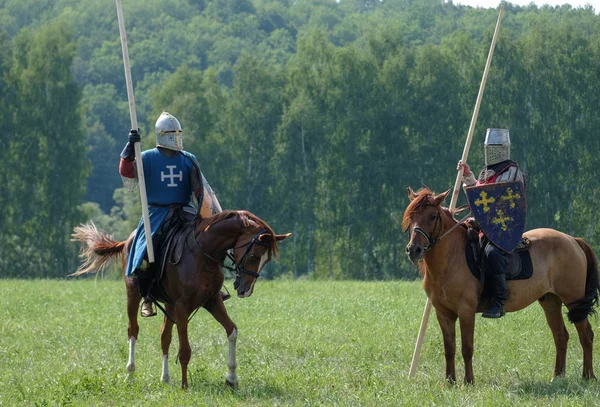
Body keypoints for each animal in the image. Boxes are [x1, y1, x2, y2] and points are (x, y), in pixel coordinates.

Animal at [71, 210, 292, 388]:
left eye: (266, 260)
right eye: (254, 256)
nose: (245, 290)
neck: (202, 254)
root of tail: (128, 241)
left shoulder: (212, 301)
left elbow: (232, 331)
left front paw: (231, 379)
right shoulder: (182, 307)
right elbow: (185, 349)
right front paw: (185, 386)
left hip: (169, 305)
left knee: (164, 337)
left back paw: (165, 378)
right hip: (133, 295)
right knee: (133, 331)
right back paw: (131, 374)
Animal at [404, 186, 600, 384]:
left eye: (432, 216)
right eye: (411, 216)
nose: (414, 250)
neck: (451, 257)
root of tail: (573, 240)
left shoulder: (466, 311)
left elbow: (467, 348)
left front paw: (468, 382)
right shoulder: (443, 313)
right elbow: (449, 349)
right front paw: (450, 382)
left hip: (574, 300)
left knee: (586, 335)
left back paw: (588, 376)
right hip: (551, 301)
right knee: (560, 336)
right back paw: (557, 377)